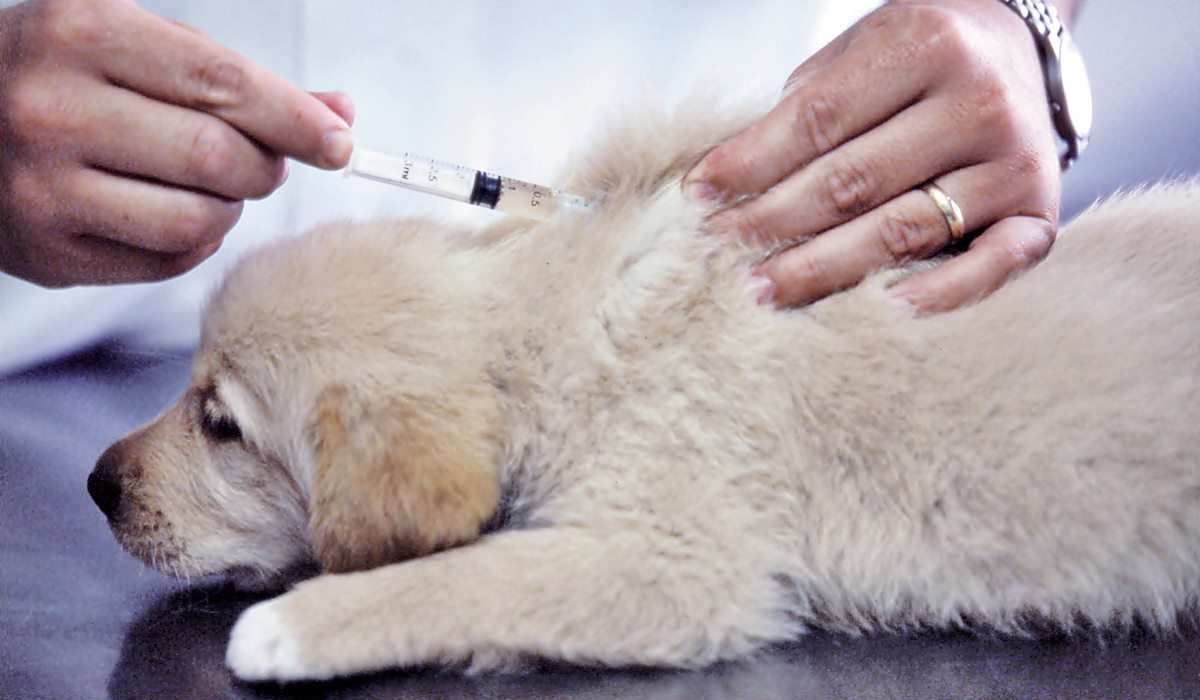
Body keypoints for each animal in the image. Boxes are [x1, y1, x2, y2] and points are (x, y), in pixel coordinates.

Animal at [88, 106, 1200, 681]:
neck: (545, 336)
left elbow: (465, 576)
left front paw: (298, 624)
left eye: (221, 424)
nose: (98, 486)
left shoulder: (678, 563)